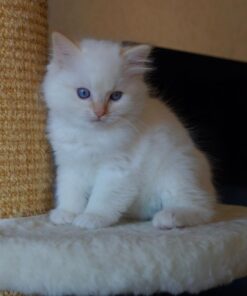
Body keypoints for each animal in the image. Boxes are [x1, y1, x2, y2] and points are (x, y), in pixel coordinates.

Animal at [43, 33, 217, 230]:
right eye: (83, 93)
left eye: (116, 96)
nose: (100, 113)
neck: (92, 135)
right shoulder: (71, 165)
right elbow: (70, 191)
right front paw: (67, 213)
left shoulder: (117, 169)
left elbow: (102, 198)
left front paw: (92, 217)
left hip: (177, 170)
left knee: (201, 209)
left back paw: (167, 218)